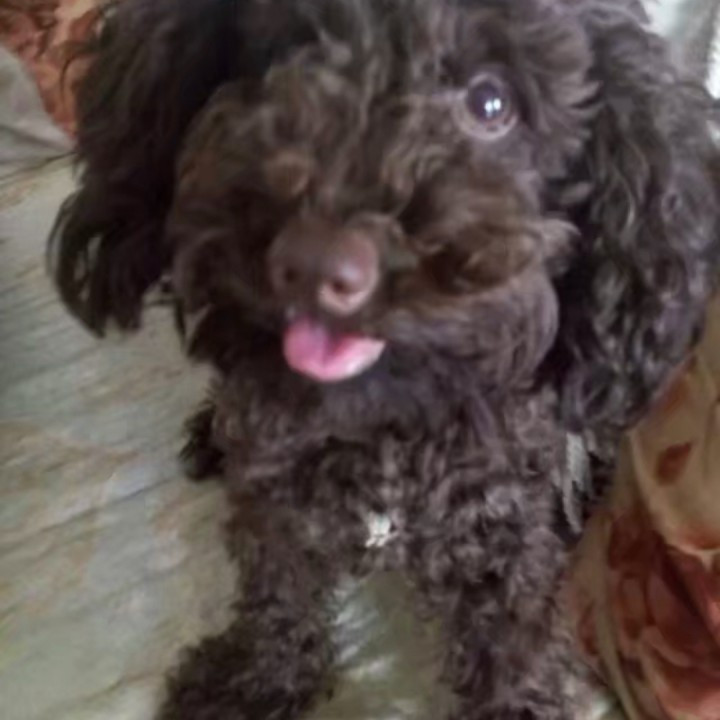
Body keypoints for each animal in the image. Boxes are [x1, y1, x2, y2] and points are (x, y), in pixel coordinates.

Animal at [49, 1, 720, 718]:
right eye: (289, 53)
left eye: (492, 102)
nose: (317, 263)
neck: (381, 432)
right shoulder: (274, 499)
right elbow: (275, 593)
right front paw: (256, 679)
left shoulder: (502, 536)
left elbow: (512, 641)